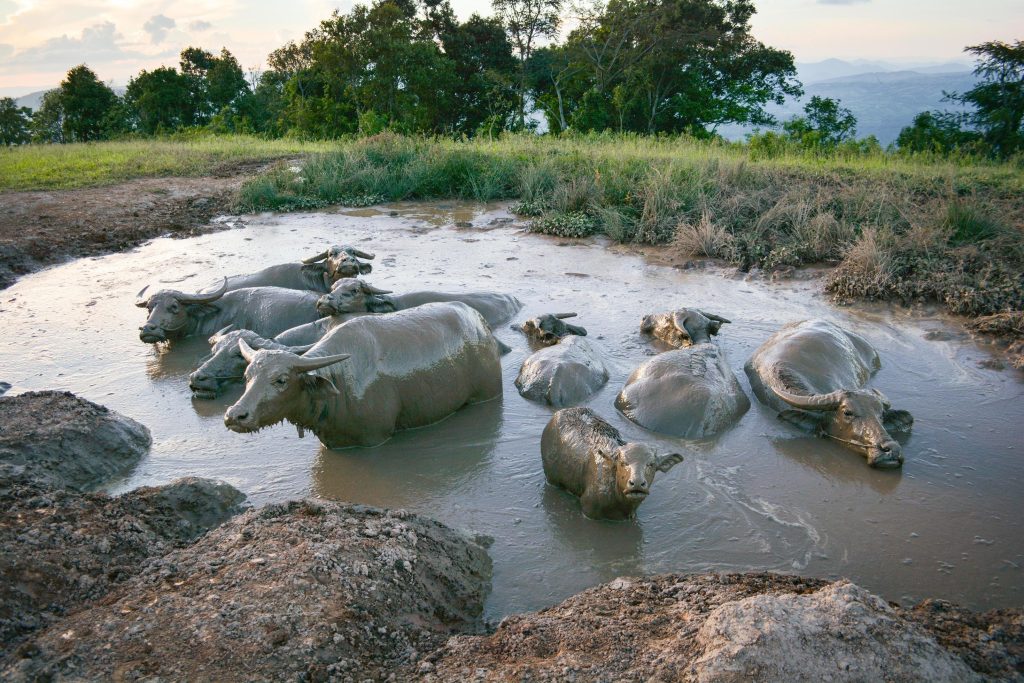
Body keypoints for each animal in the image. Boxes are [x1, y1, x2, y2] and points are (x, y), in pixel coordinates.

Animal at [223, 302, 503, 448]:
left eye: (281, 380)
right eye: (247, 376)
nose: (234, 415)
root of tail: (479, 321)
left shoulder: (374, 439)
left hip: (486, 394)